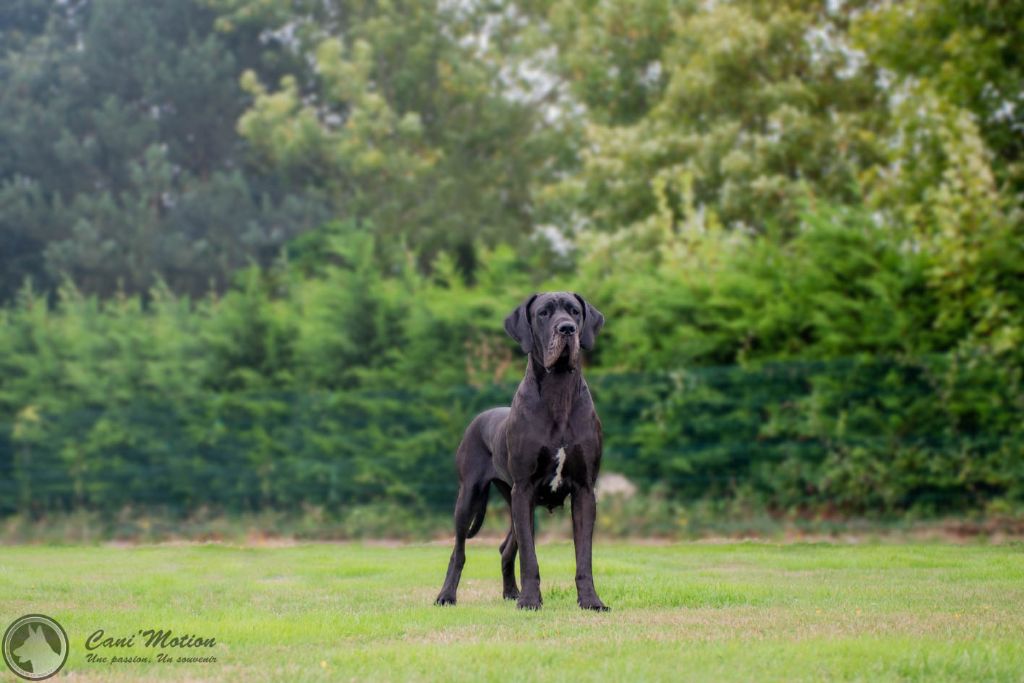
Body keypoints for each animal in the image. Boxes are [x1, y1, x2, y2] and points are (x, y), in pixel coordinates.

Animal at [434, 290, 606, 610]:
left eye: (575, 312)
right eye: (543, 313)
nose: (567, 329)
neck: (558, 390)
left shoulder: (584, 490)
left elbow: (584, 555)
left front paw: (591, 601)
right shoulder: (524, 489)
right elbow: (529, 556)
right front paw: (529, 601)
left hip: (512, 499)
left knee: (505, 547)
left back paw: (510, 592)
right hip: (470, 497)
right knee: (459, 551)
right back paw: (447, 595)